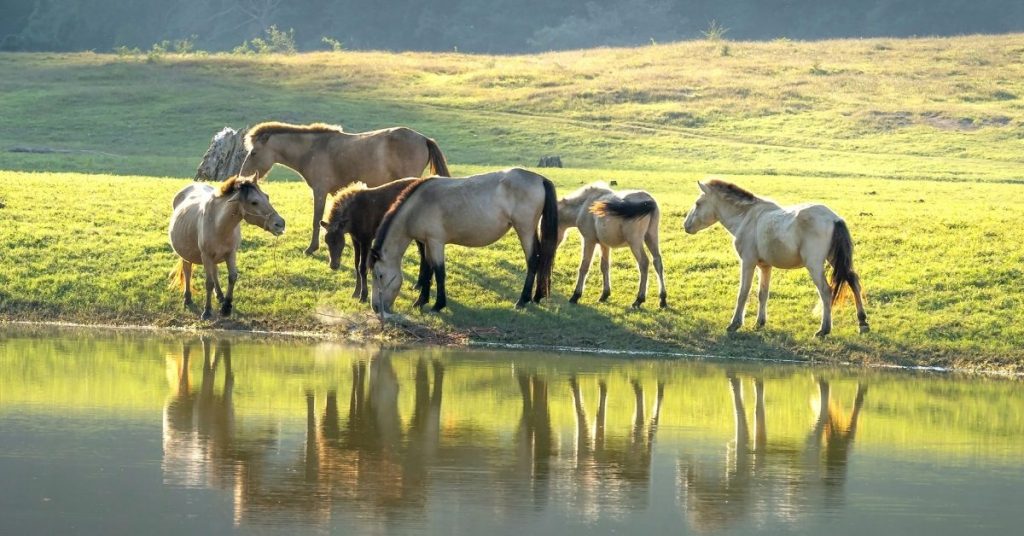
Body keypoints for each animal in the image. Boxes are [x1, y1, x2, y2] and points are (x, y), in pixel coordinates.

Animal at [169, 175, 285, 320]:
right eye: (254, 202)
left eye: (267, 196)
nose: (280, 224)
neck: (218, 224)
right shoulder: (206, 256)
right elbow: (209, 283)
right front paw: (207, 311)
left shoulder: (230, 254)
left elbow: (232, 277)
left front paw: (226, 307)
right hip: (186, 255)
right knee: (187, 272)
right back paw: (187, 298)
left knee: (214, 272)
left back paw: (220, 296)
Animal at [239, 121, 450, 255]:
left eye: (254, 152)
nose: (243, 176)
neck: (313, 149)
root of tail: (424, 139)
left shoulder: (320, 191)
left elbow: (316, 220)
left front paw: (312, 248)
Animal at [369, 168, 558, 318]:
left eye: (379, 275)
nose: (376, 307)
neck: (418, 205)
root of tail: (539, 178)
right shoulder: (428, 243)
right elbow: (429, 270)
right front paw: (421, 301)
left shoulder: (435, 242)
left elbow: (439, 272)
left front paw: (437, 305)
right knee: (540, 259)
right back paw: (536, 297)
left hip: (524, 229)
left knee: (533, 260)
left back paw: (522, 300)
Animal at [683, 180, 869, 337]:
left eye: (698, 204)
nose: (686, 225)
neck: (747, 218)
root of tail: (834, 219)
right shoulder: (765, 266)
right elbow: (762, 294)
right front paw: (759, 323)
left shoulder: (748, 263)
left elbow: (743, 292)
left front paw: (735, 324)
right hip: (834, 260)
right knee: (853, 282)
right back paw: (862, 322)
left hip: (814, 265)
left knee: (826, 291)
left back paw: (824, 329)